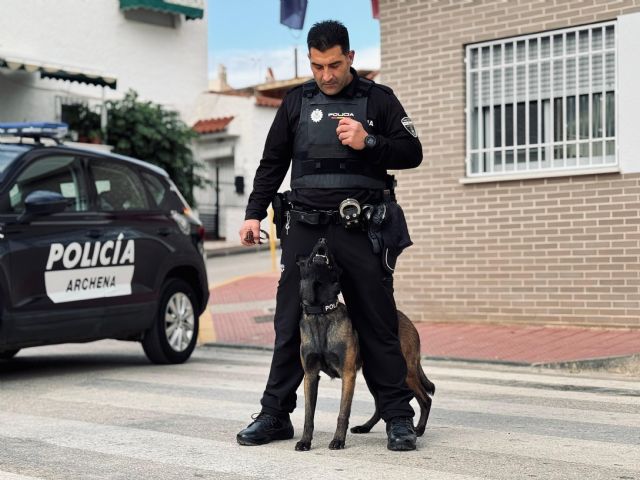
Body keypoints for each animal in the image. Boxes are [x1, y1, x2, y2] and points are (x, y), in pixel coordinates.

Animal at [296, 238, 436, 452]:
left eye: (333, 260)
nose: (322, 239)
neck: (321, 312)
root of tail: (407, 320)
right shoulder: (310, 375)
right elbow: (308, 415)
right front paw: (305, 441)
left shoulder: (348, 375)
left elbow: (343, 412)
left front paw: (338, 440)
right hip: (373, 376)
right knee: (380, 405)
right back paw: (365, 427)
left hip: (405, 373)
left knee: (425, 399)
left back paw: (418, 429)